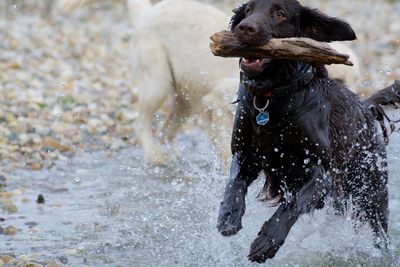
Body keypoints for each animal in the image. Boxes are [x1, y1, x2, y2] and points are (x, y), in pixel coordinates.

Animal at [57, 0, 362, 166]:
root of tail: (146, 14)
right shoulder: (214, 103)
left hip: (183, 98)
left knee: (167, 129)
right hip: (158, 81)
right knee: (142, 123)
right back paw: (155, 156)